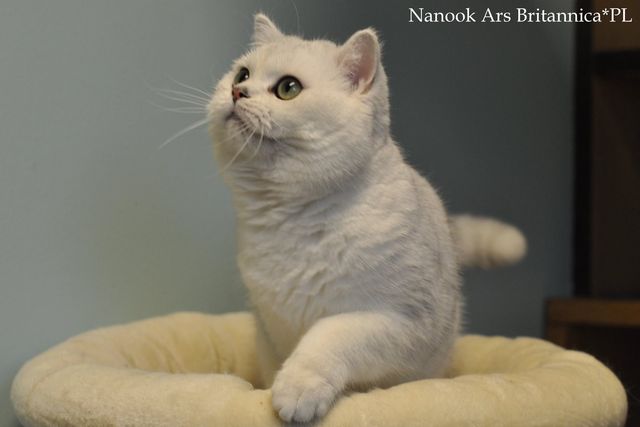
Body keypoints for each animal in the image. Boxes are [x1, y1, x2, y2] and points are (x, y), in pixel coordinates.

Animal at [207, 14, 526, 423]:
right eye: (242, 74)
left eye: (288, 88)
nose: (237, 92)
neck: (293, 221)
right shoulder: (269, 331)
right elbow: (277, 361)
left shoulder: (400, 319)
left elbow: (329, 334)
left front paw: (297, 390)